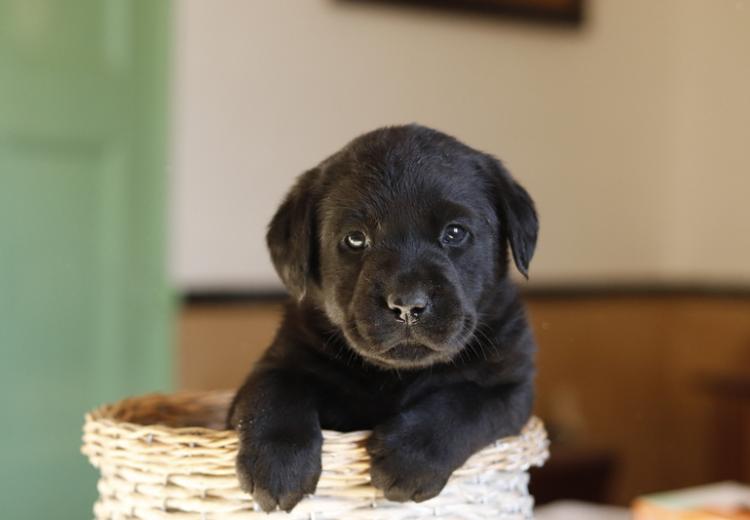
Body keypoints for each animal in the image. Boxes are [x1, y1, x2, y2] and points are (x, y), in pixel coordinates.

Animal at [229, 125, 540, 512]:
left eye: (454, 233)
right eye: (355, 238)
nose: (407, 304)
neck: (397, 376)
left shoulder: (510, 388)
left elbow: (465, 404)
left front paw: (410, 458)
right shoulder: (281, 358)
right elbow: (274, 389)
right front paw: (277, 464)